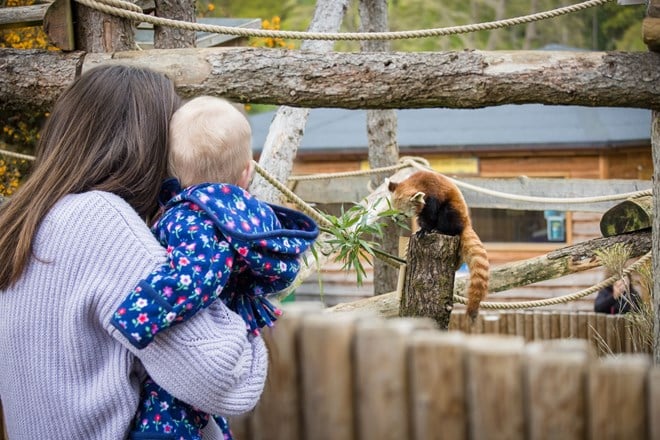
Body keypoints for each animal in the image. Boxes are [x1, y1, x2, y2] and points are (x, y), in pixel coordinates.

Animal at [386, 170, 490, 318]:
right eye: (392, 209)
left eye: (401, 213)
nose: (394, 218)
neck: (418, 182)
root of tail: (466, 222)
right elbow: (422, 218)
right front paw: (421, 229)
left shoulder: (434, 196)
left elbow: (431, 215)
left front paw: (426, 230)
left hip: (454, 210)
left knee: (448, 216)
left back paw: (441, 230)